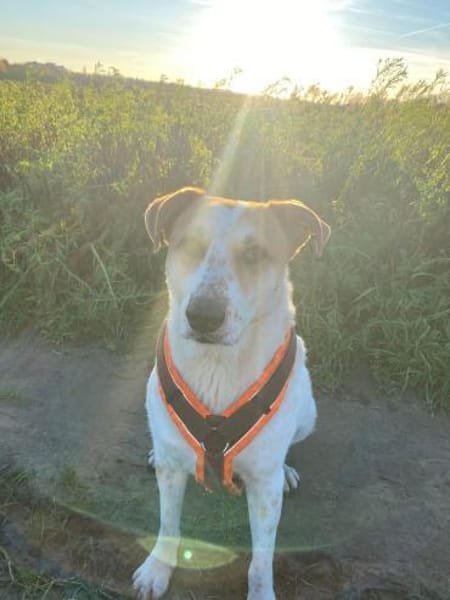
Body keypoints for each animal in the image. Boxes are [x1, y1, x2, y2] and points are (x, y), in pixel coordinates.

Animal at [133, 187, 330, 600]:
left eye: (254, 254)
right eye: (188, 244)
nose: (203, 316)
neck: (217, 366)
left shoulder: (264, 492)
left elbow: (261, 560)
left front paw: (260, 592)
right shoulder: (171, 475)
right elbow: (168, 523)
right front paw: (158, 567)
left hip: (308, 415)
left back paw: (287, 469)